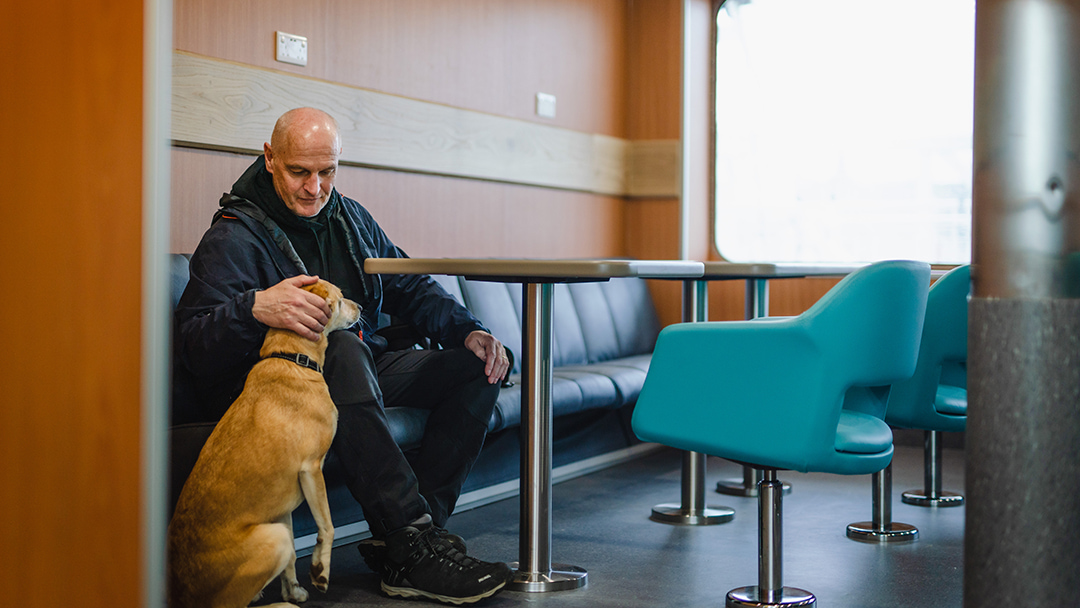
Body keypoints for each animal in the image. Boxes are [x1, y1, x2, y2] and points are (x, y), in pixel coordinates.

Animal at [168, 280, 360, 608]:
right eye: (340, 299)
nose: (361, 306)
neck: (292, 359)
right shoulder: (312, 470)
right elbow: (328, 526)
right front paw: (320, 571)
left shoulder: (282, 505)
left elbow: (294, 553)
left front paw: (293, 588)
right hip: (274, 537)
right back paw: (278, 604)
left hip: (275, 528)